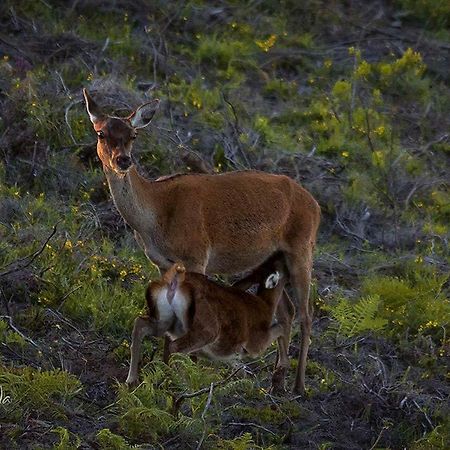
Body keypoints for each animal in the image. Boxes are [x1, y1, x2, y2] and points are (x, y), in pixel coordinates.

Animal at [125, 256, 290, 384]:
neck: (265, 305)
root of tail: (174, 284)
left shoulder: (230, 357)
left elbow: (240, 369)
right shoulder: (256, 344)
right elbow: (281, 327)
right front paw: (282, 364)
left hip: (164, 319)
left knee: (140, 323)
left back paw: (132, 380)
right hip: (206, 330)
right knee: (175, 346)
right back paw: (177, 381)